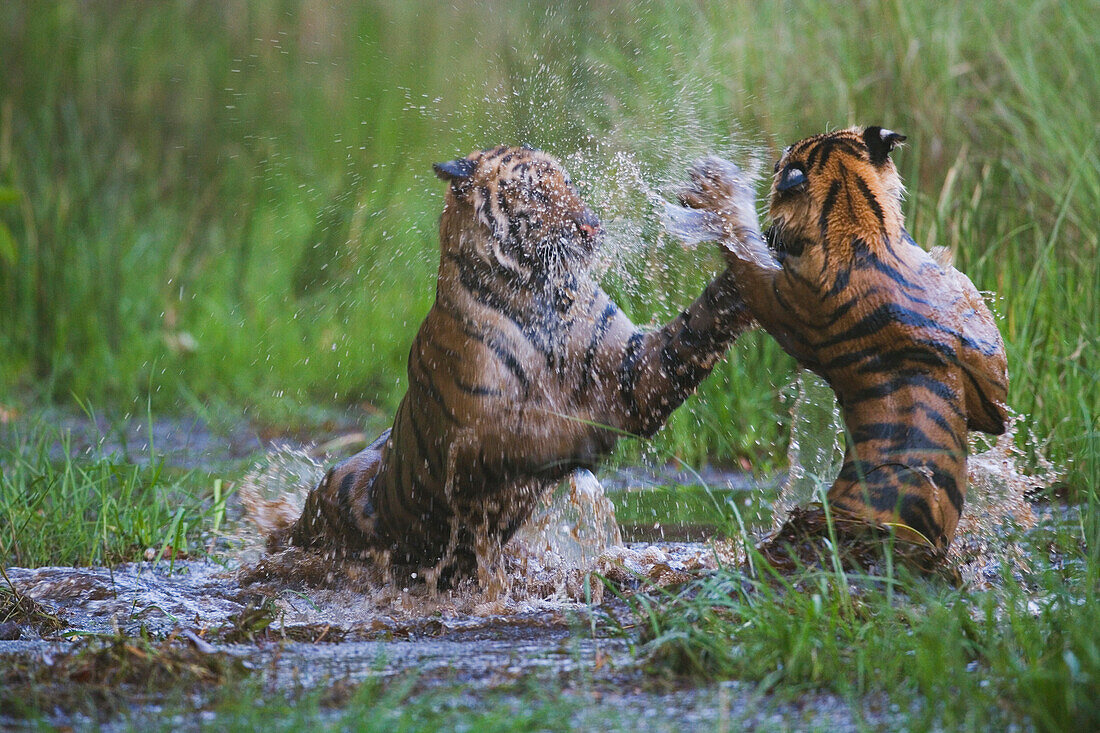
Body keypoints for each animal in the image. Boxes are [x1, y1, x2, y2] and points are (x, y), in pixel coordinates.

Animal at [273, 145, 752, 585]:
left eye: (570, 185)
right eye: (537, 193)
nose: (592, 226)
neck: (540, 294)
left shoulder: (636, 372)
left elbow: (690, 332)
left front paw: (743, 270)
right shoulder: (471, 436)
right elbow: (533, 431)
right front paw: (590, 430)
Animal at [664, 125, 1007, 556]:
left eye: (778, 166)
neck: (859, 219)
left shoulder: (779, 298)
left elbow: (744, 249)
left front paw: (717, 194)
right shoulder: (988, 397)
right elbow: (995, 393)